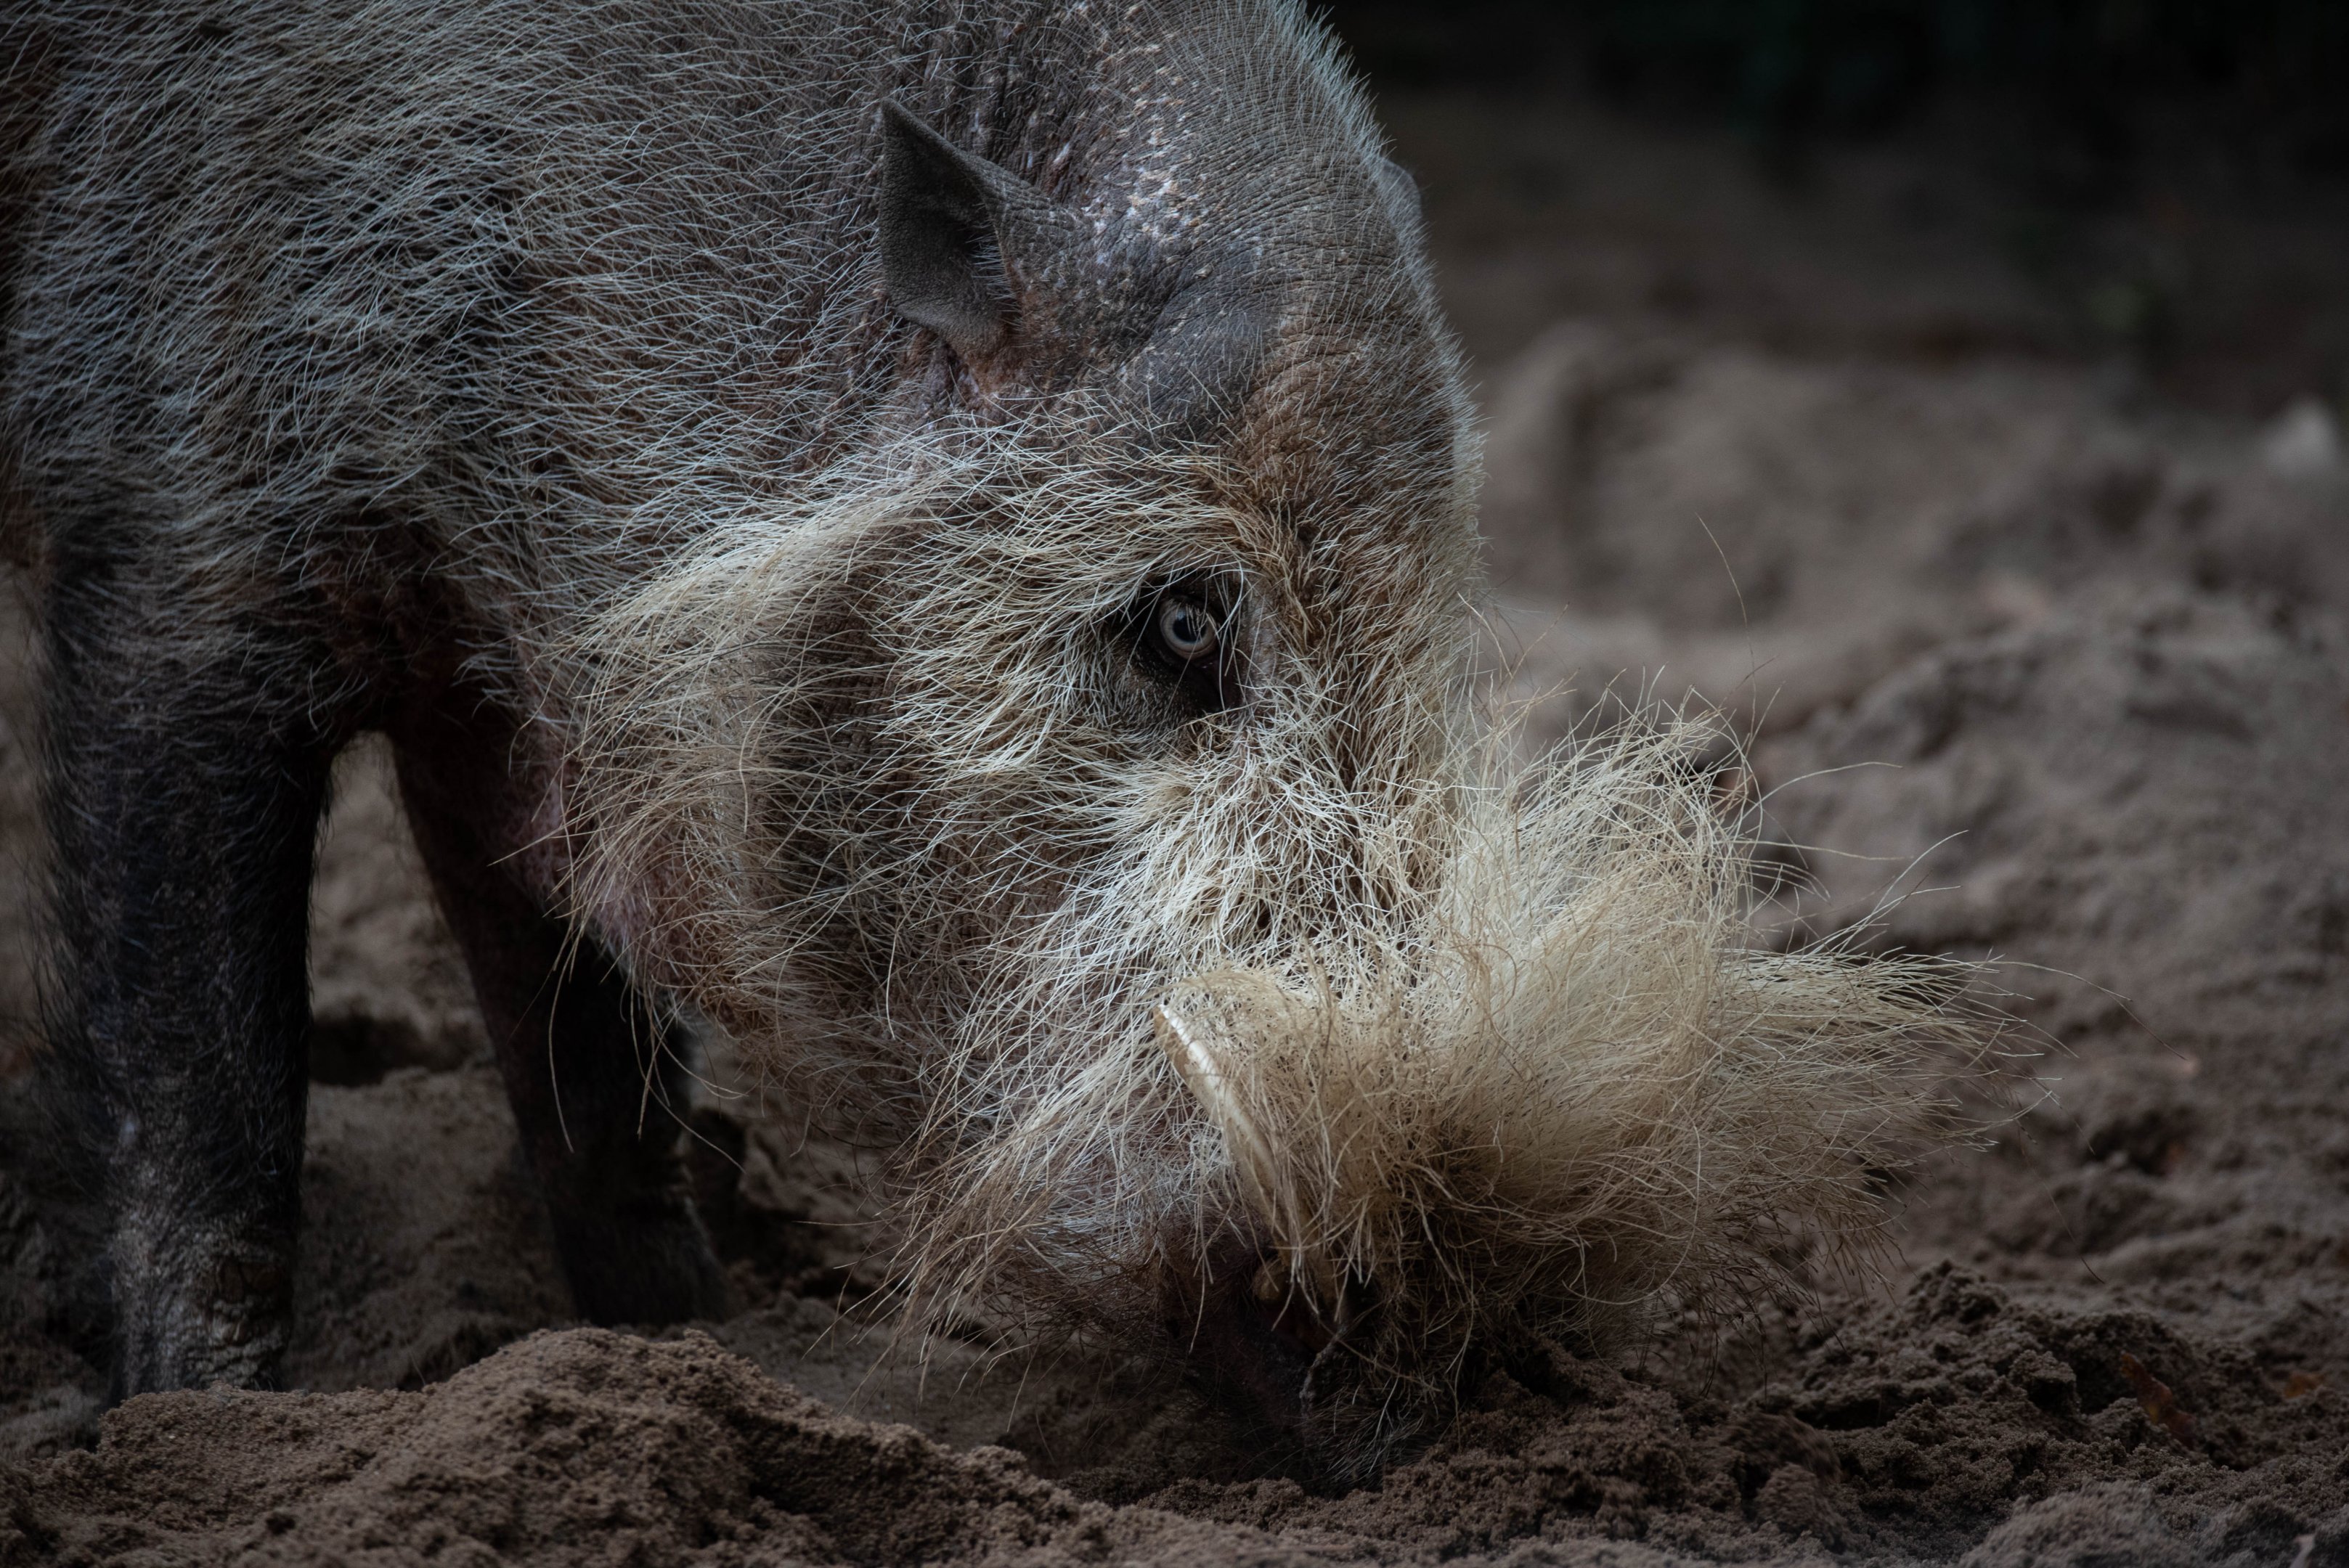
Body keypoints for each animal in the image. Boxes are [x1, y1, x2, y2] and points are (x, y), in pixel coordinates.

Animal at [0, 0, 1971, 1481]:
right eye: (1182, 620)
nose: (1426, 1388)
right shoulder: (175, 559)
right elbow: (212, 1107)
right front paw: (204, 1435)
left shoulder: (511, 691)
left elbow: (595, 1063)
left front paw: (685, 1352)